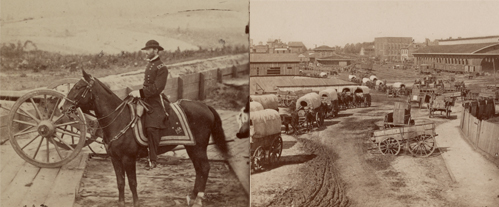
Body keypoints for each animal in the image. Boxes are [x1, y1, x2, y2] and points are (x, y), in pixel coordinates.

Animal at [60, 70, 229, 207]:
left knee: (204, 168)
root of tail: (205, 106)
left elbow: (132, 182)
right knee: (199, 169)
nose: (62, 107)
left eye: (77, 87)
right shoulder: (115, 158)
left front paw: (136, 203)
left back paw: (198, 199)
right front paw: (121, 203)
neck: (119, 119)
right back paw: (193, 197)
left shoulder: (128, 158)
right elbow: (120, 182)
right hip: (192, 147)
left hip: (199, 147)